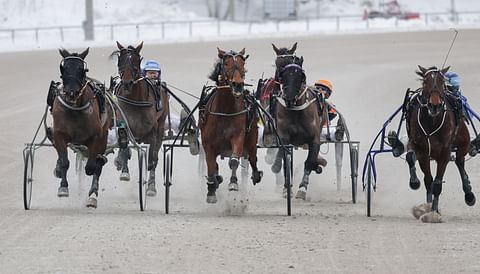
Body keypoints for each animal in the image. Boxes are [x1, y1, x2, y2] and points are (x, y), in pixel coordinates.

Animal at [51, 47, 112, 208]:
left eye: (81, 69)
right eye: (64, 68)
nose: (71, 92)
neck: (74, 109)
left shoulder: (96, 137)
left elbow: (91, 167)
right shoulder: (59, 134)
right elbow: (64, 161)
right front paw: (63, 187)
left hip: (104, 135)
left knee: (97, 166)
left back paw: (92, 196)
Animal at [111, 41, 170, 197]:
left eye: (136, 61)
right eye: (121, 60)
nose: (127, 82)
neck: (134, 100)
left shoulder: (153, 130)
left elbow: (152, 159)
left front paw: (151, 186)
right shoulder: (123, 124)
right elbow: (124, 146)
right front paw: (124, 170)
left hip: (161, 124)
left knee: (155, 154)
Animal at [201, 47, 264, 203]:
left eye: (243, 64)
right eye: (226, 64)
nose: (238, 85)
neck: (225, 110)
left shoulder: (238, 136)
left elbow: (234, 160)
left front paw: (233, 183)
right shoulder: (208, 144)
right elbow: (210, 165)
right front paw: (211, 189)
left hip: (252, 137)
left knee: (252, 157)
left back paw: (256, 174)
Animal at [266, 45, 330, 199]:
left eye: (301, 75)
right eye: (283, 73)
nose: (289, 97)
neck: (296, 110)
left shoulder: (314, 139)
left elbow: (310, 161)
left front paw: (302, 188)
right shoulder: (284, 136)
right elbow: (285, 161)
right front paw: (286, 187)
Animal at [404, 66, 476, 223]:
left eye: (442, 83)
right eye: (425, 82)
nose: (434, 105)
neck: (432, 121)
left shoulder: (444, 152)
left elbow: (437, 183)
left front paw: (433, 213)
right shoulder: (420, 149)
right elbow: (415, 163)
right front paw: (415, 184)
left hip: (463, 142)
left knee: (460, 161)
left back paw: (469, 194)